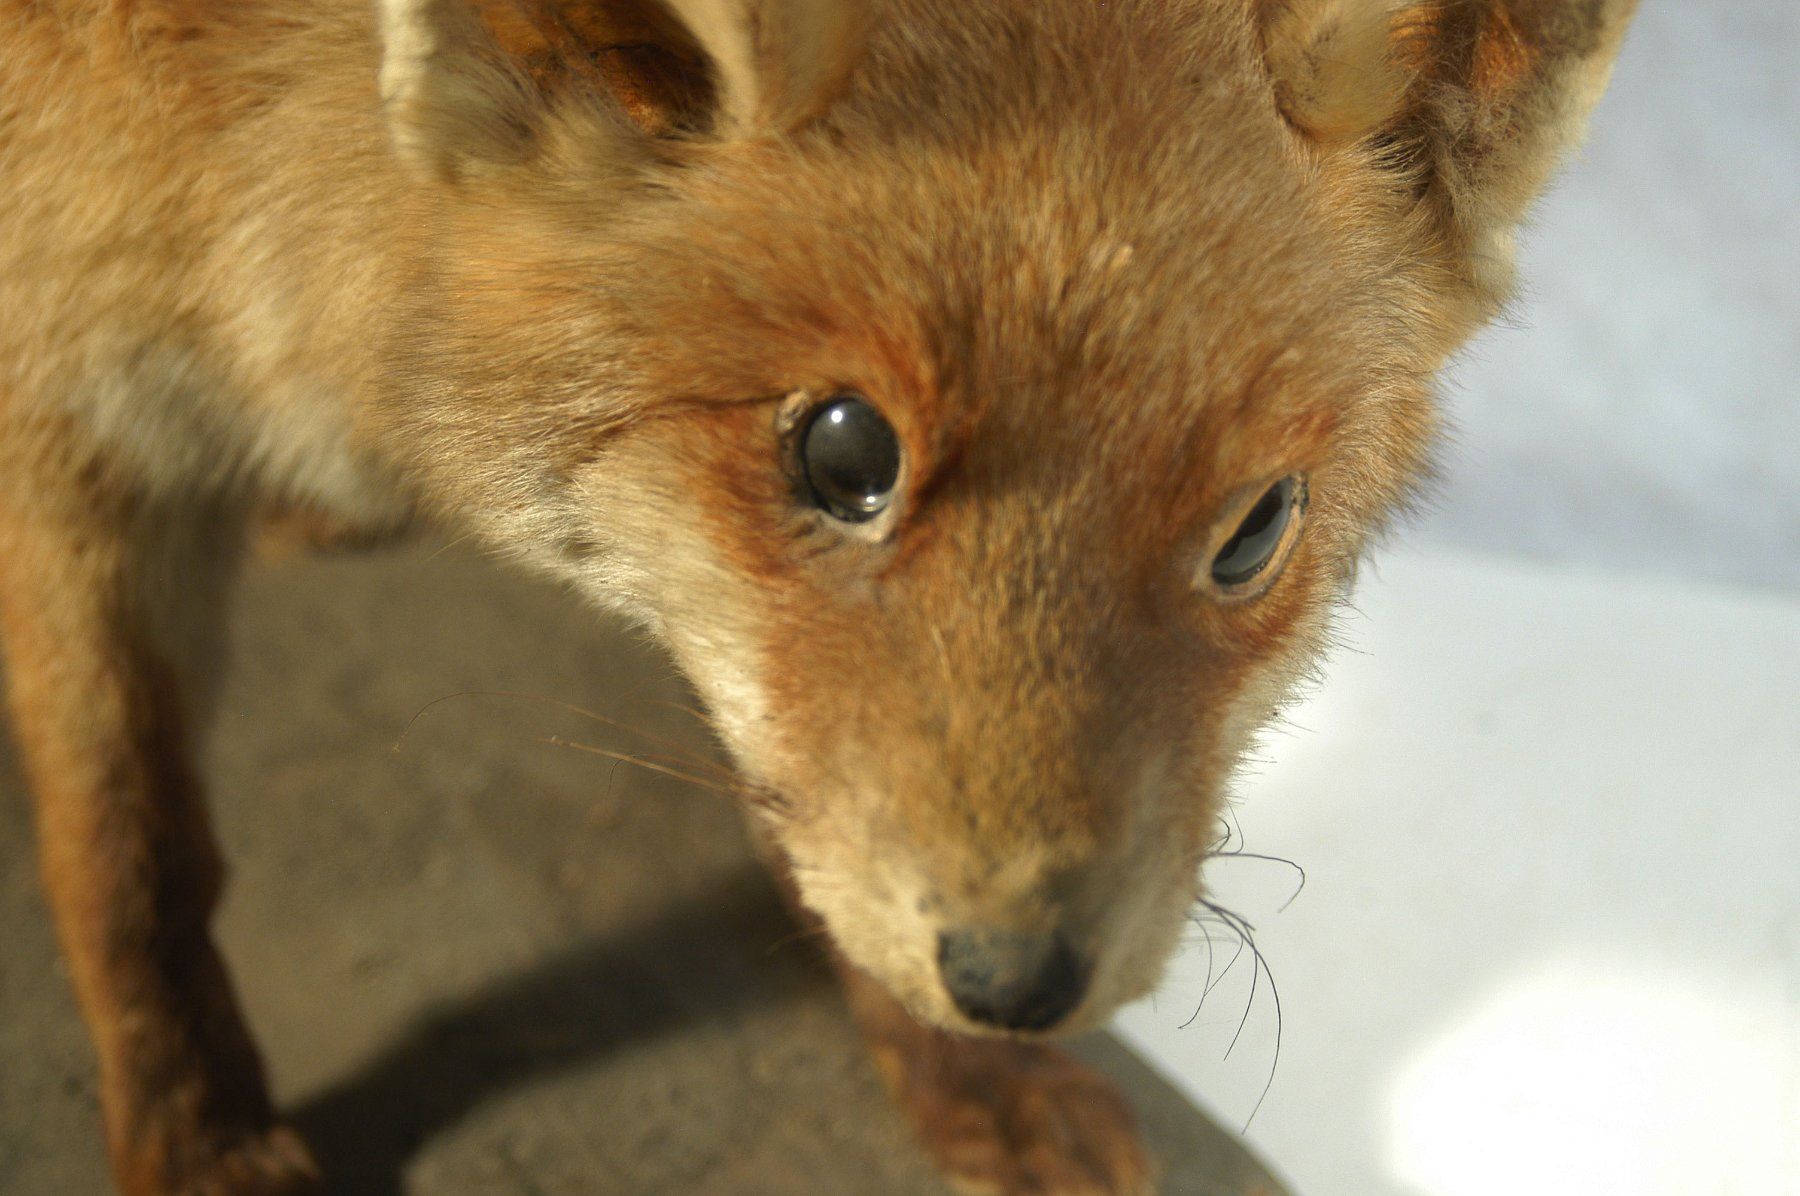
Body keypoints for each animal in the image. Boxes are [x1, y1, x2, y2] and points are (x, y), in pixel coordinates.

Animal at [0, 0, 1636, 1192]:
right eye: (846, 453)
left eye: (1255, 531)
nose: (1015, 979)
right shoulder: (67, 419)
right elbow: (130, 849)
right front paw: (199, 1137)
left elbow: (817, 837)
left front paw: (958, 1076)